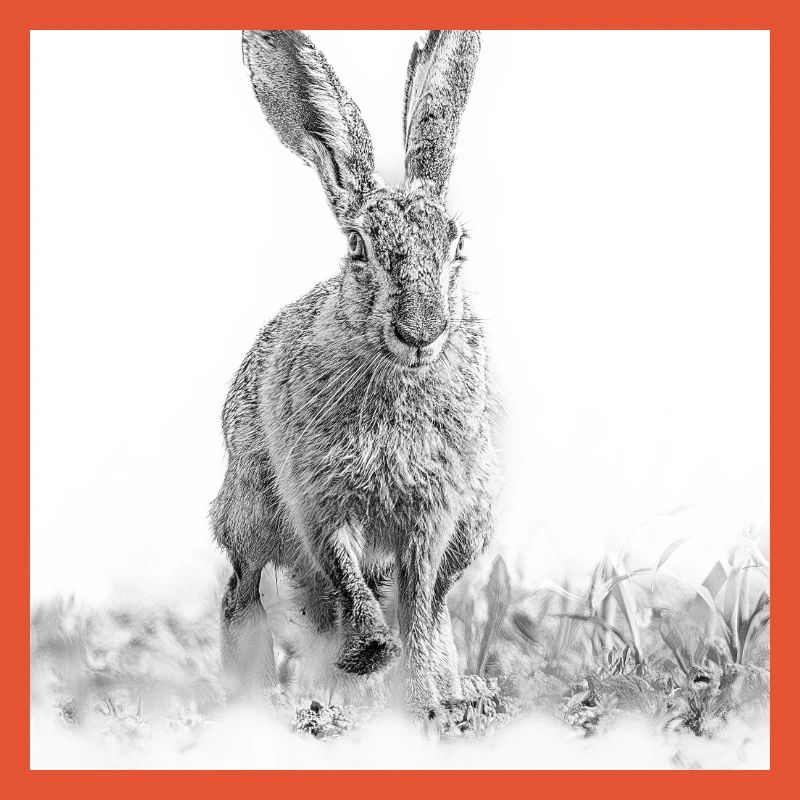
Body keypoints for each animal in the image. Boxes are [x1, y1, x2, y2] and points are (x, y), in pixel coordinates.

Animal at [212, 29, 497, 712]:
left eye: (458, 245)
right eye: (357, 247)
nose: (421, 332)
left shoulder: (432, 514)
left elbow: (418, 605)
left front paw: (425, 700)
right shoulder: (319, 498)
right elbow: (346, 578)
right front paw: (369, 655)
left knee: (434, 603)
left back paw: (453, 691)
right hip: (250, 510)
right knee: (245, 593)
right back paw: (262, 696)